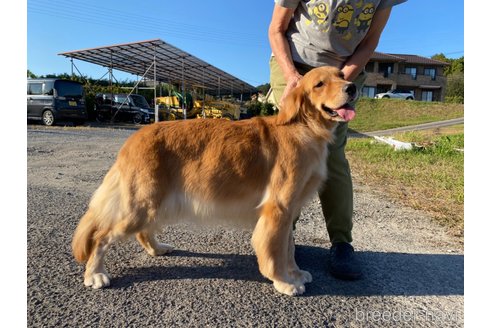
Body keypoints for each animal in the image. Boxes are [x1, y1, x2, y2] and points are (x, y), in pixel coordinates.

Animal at [72, 65, 354, 296]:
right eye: (319, 84)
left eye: (341, 75)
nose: (351, 87)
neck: (304, 128)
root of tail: (132, 140)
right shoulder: (278, 209)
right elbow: (275, 251)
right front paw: (284, 281)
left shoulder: (289, 211)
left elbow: (289, 247)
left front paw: (295, 273)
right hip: (140, 204)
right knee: (100, 237)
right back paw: (95, 274)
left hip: (153, 203)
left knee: (142, 232)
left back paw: (157, 248)